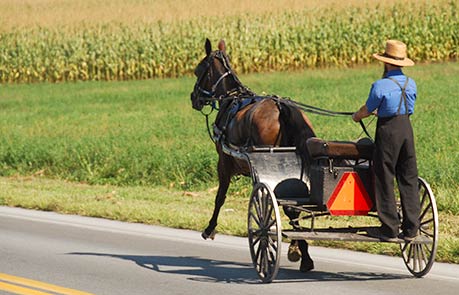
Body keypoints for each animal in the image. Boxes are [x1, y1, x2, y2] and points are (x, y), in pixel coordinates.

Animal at [190, 39, 316, 272]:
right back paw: (300, 250)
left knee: (288, 209)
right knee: (294, 208)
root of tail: (281, 107)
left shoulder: (224, 164)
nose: (194, 97)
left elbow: (220, 197)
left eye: (198, 70)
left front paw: (210, 228)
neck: (231, 98)